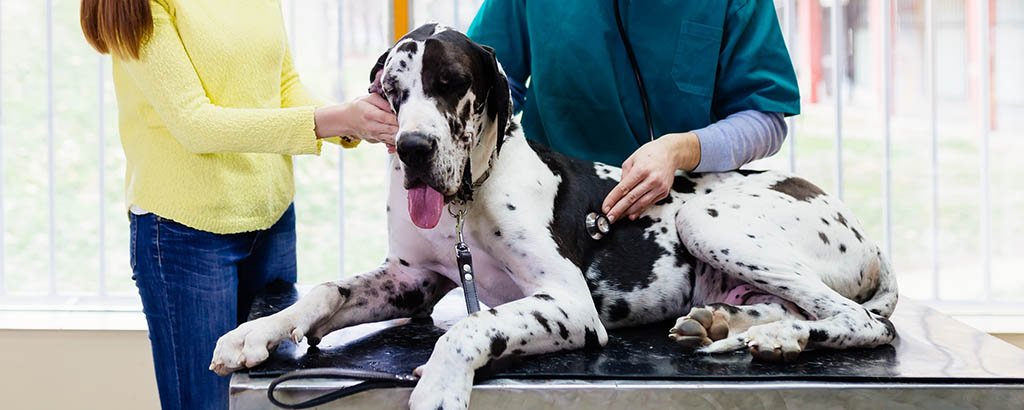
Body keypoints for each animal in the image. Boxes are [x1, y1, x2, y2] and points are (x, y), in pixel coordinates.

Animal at [207, 24, 897, 410]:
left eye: (452, 81)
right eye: (392, 92)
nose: (413, 150)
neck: (467, 199)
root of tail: (866, 235)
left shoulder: (568, 304)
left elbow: (472, 326)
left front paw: (437, 386)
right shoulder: (412, 279)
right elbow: (326, 290)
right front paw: (257, 331)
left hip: (707, 220)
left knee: (864, 320)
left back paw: (784, 337)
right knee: (797, 306)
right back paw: (735, 324)